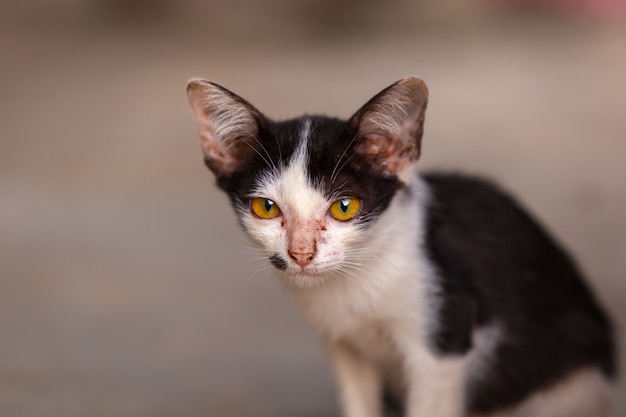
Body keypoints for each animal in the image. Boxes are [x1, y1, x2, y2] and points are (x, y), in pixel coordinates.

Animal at [184, 76, 616, 414]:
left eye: (344, 207)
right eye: (266, 207)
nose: (301, 253)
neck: (357, 277)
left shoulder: (444, 338)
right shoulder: (344, 345)